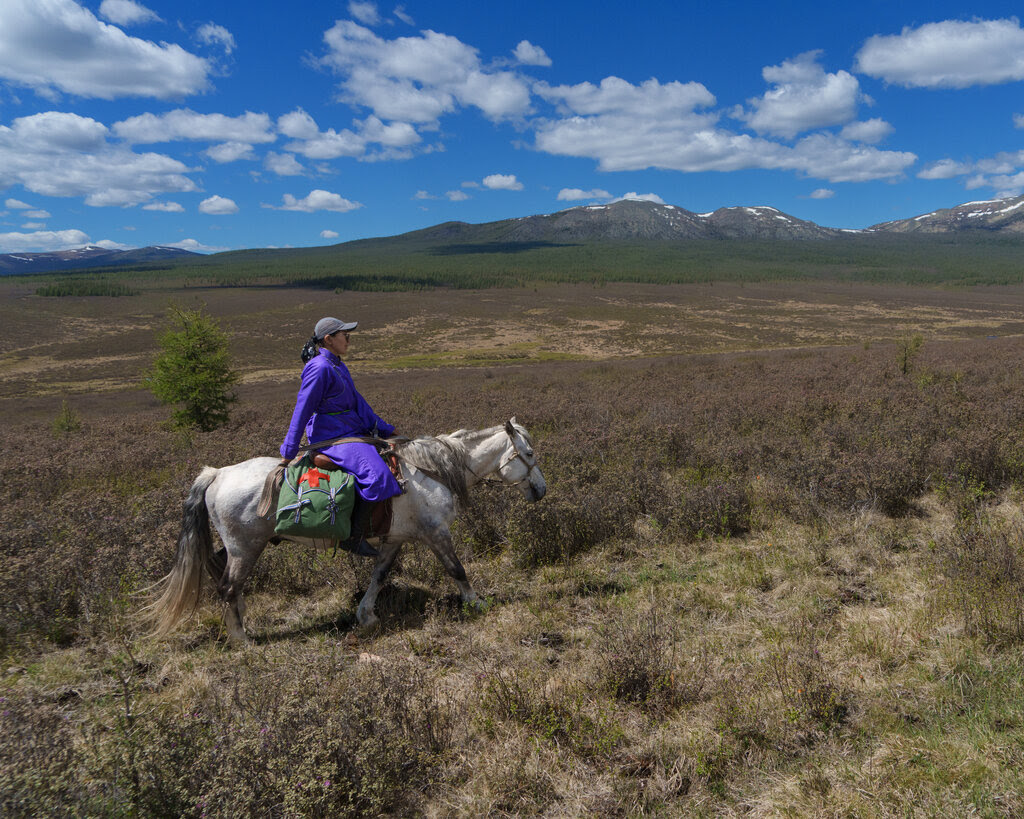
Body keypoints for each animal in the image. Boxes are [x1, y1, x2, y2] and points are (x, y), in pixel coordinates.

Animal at [145, 419, 548, 642]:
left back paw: (240, 618)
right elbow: (457, 569)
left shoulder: (395, 539)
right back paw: (241, 638)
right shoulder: (436, 534)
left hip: (236, 546)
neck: (431, 471)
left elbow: (379, 575)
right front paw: (476, 602)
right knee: (228, 585)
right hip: (246, 547)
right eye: (528, 453)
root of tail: (217, 474)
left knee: (220, 571)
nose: (541, 489)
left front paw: (366, 615)